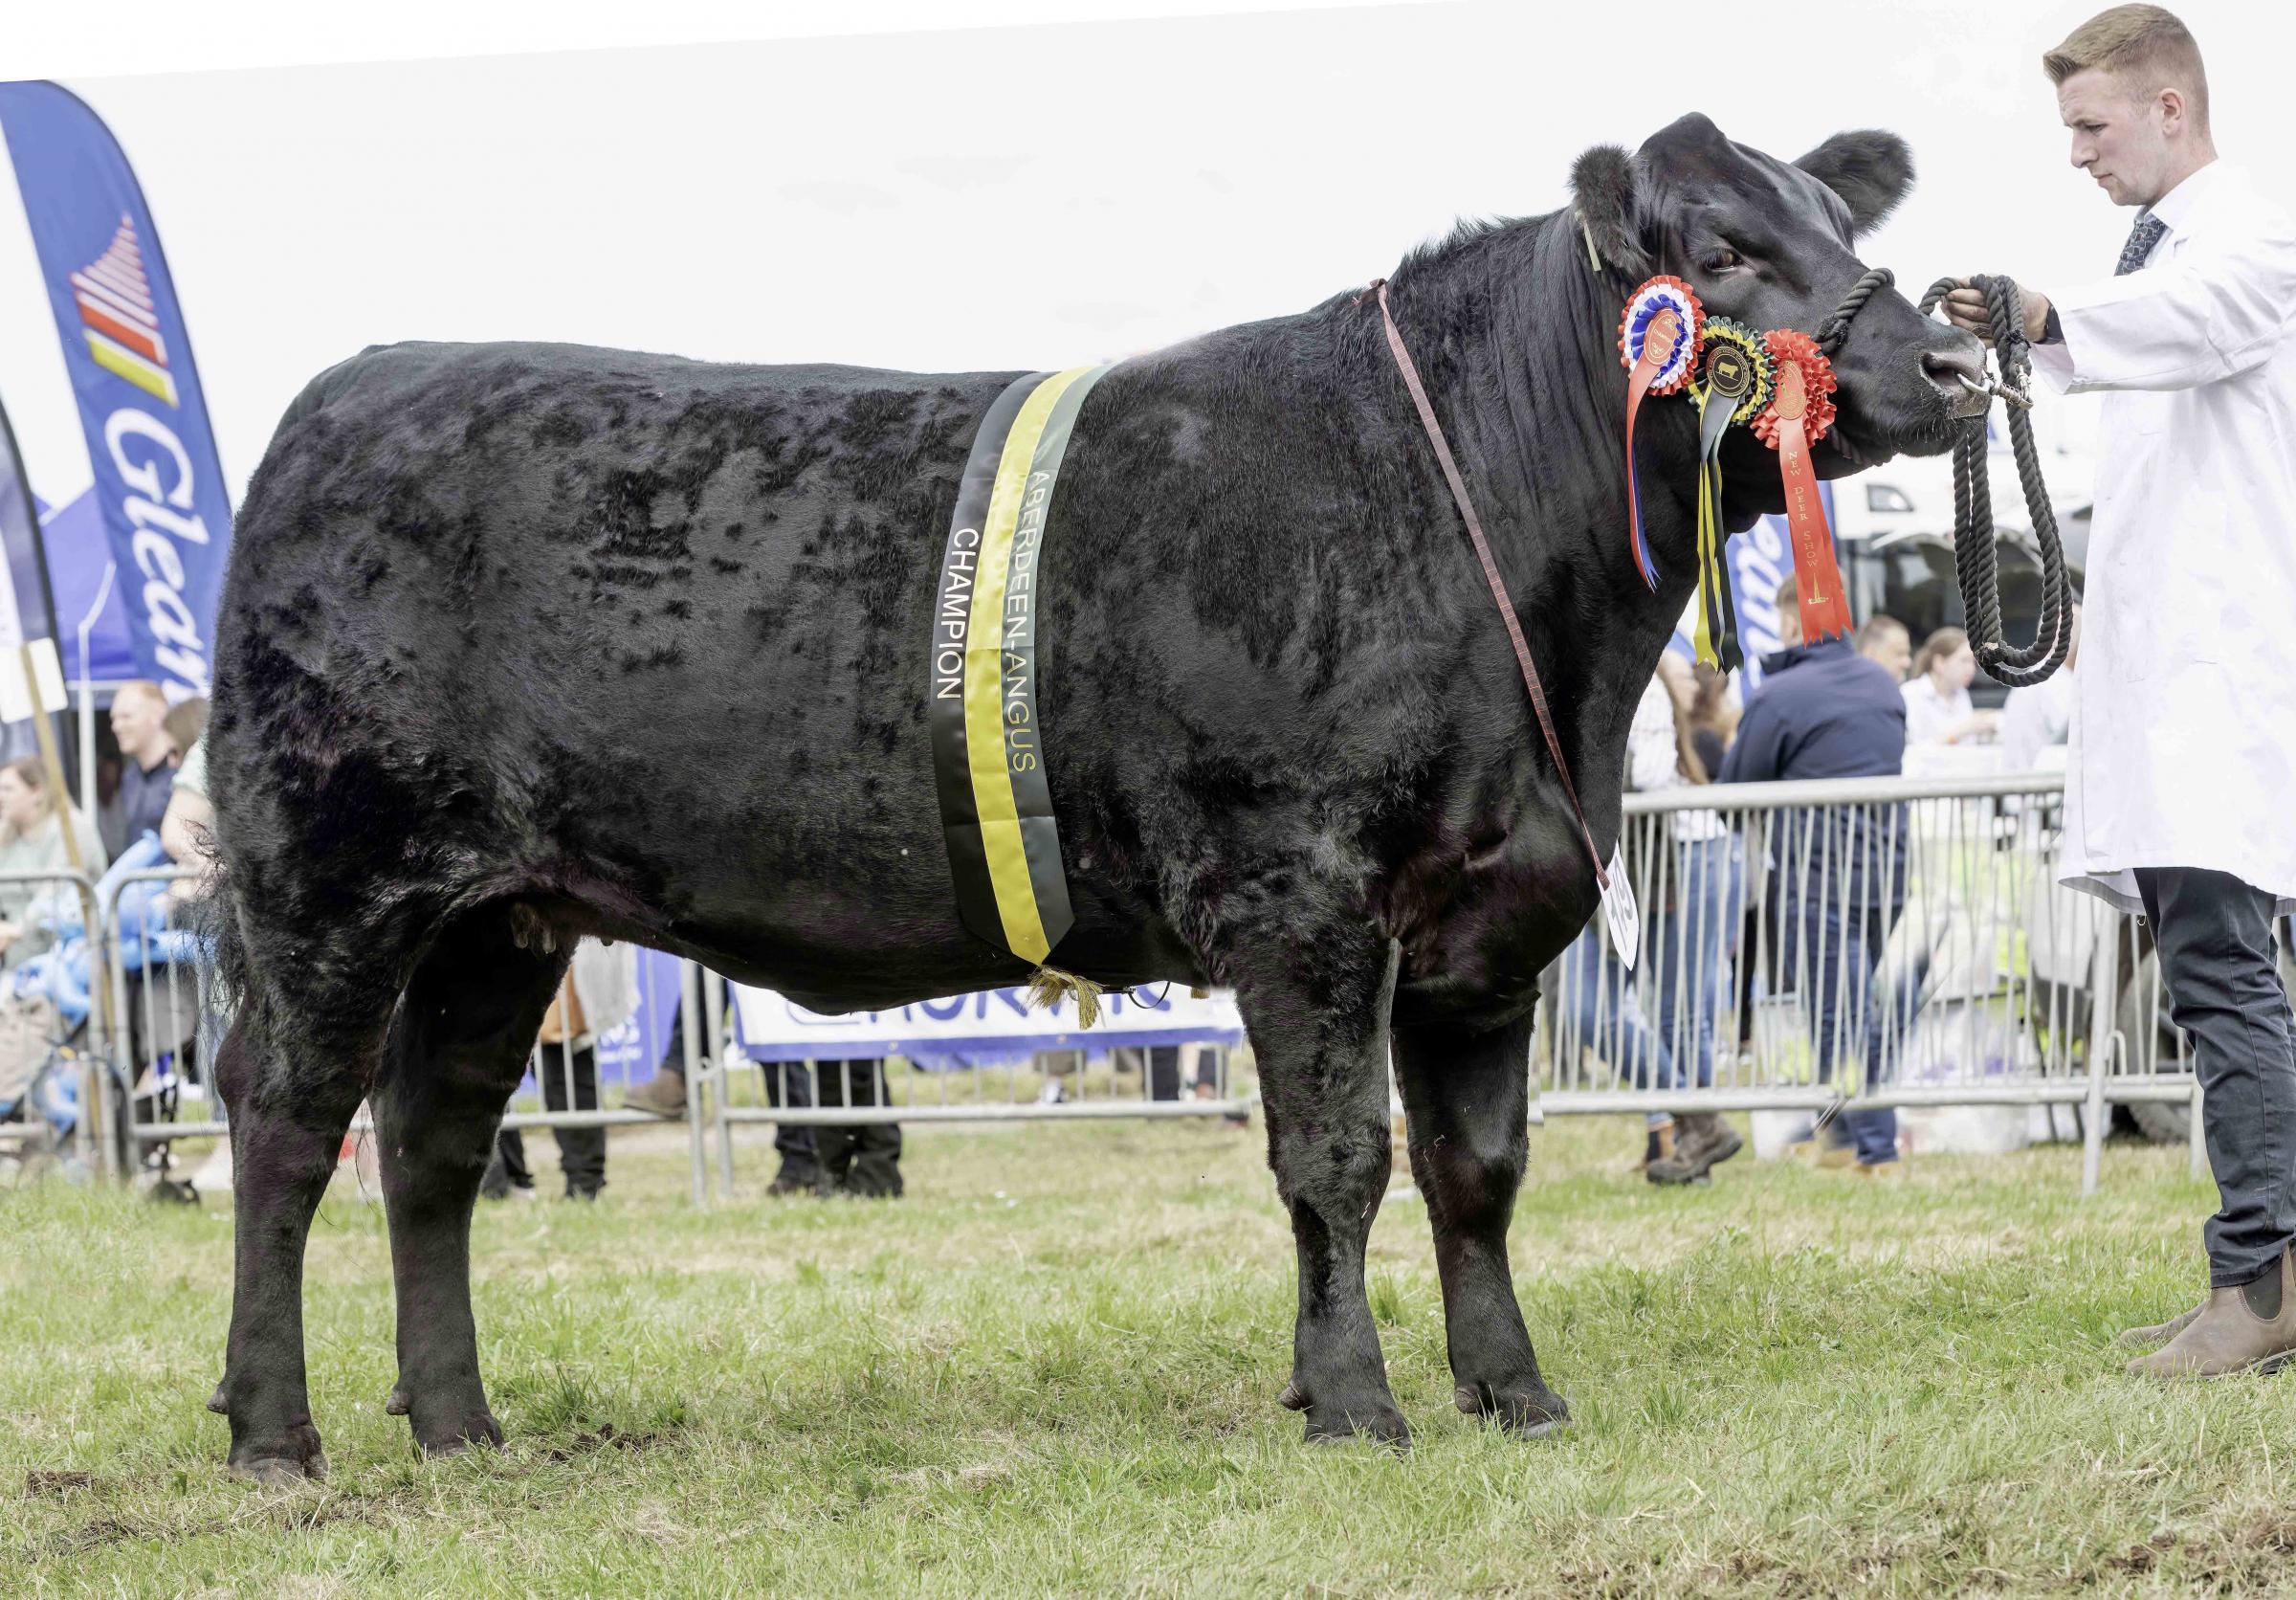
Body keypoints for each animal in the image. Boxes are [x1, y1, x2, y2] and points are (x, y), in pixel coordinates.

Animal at [202, 112, 1993, 1478]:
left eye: (1839, 218)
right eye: (1725, 250)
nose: (1955, 356)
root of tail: (350, 387)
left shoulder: (1490, 917)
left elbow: (1478, 1169)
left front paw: (1515, 1391)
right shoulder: (1299, 892)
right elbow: (1339, 1157)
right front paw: (1356, 1404)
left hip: (499, 916)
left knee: (430, 1142)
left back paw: (459, 1424)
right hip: (329, 875)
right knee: (287, 1120)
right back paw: (277, 1434)